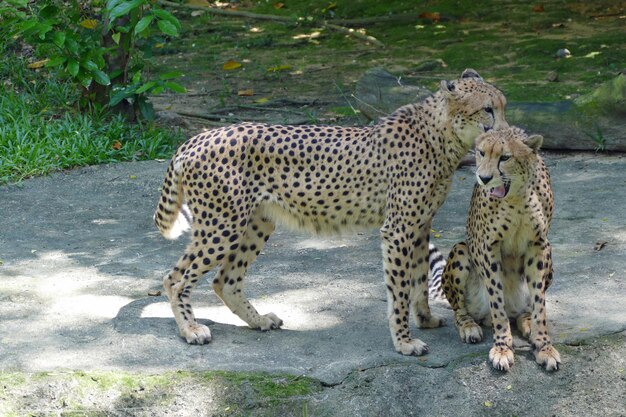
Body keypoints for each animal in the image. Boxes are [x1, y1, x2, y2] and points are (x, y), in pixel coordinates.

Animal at [152, 68, 508, 354]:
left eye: (503, 106)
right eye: (487, 109)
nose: (505, 133)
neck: (441, 135)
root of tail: (198, 137)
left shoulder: (420, 225)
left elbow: (419, 279)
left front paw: (426, 319)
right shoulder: (398, 229)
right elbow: (399, 290)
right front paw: (404, 342)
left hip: (255, 222)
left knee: (220, 279)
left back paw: (259, 320)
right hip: (222, 224)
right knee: (177, 279)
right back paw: (190, 330)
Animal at [436, 127, 560, 370]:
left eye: (505, 157)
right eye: (481, 152)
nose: (483, 178)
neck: (518, 197)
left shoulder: (538, 245)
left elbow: (539, 302)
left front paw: (544, 346)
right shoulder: (487, 248)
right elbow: (497, 301)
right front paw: (502, 347)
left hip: (549, 250)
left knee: (524, 310)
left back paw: (527, 322)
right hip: (462, 251)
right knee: (460, 310)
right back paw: (469, 326)